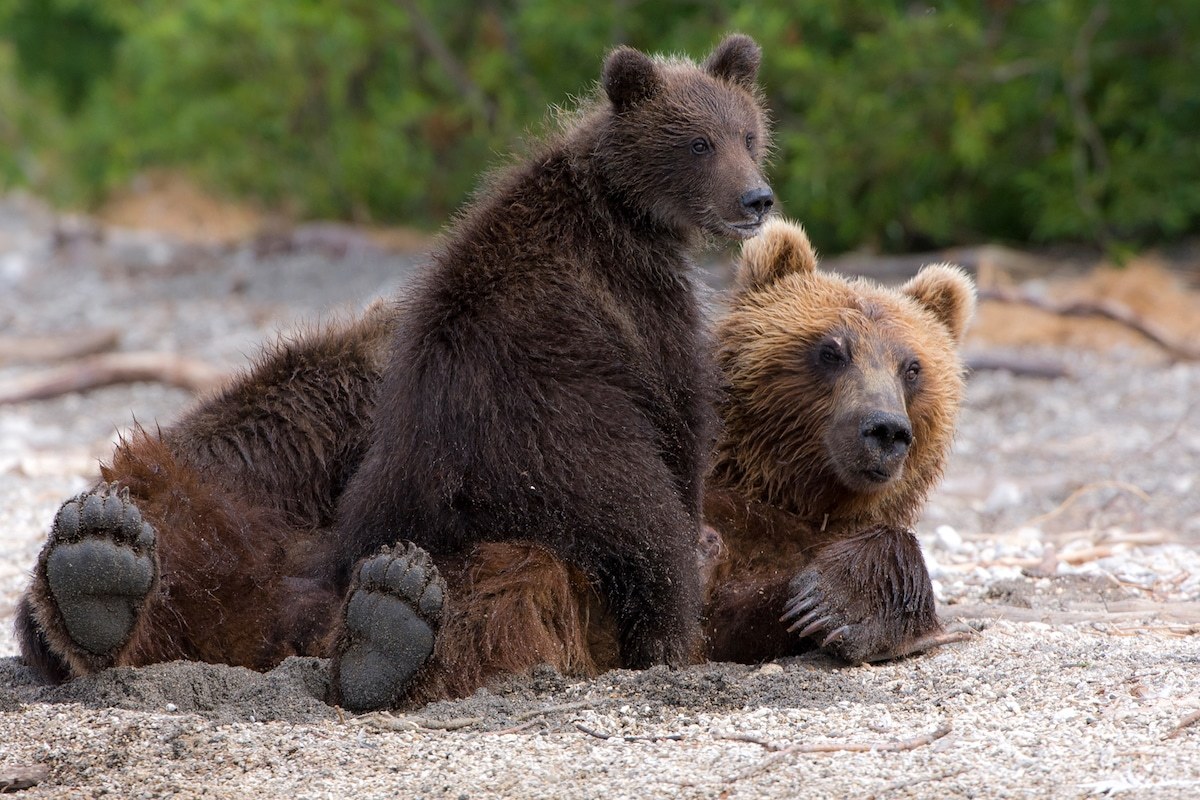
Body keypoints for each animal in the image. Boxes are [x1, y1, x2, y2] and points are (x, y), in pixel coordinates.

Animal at [16, 34, 777, 714]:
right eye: (699, 143)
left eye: (748, 133)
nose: (758, 199)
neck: (622, 205)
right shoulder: (632, 303)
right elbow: (680, 416)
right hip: (563, 447)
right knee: (644, 531)